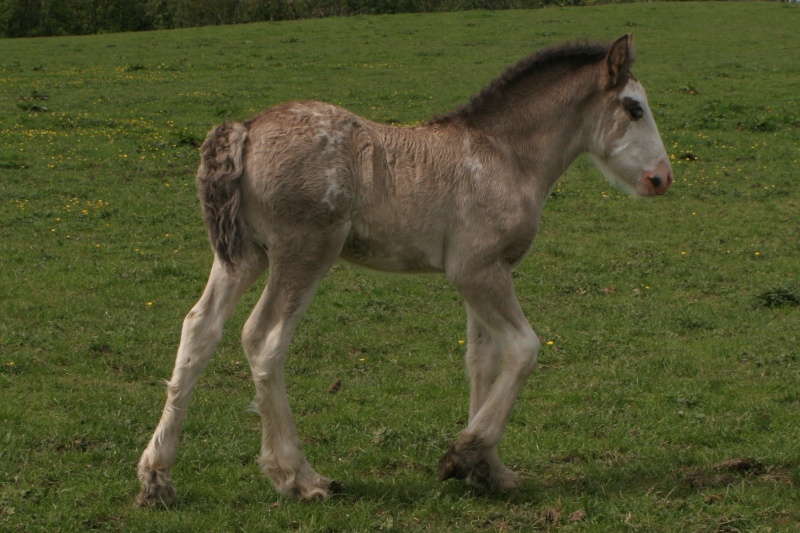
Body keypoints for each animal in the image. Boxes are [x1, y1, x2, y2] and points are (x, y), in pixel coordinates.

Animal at [136, 34, 668, 502]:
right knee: (264, 341)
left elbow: (483, 362)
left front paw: (488, 471)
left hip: (244, 256)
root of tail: (247, 128)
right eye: (634, 108)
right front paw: (461, 455)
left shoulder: (486, 275)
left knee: (200, 328)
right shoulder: (476, 271)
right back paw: (300, 478)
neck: (503, 156)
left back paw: (156, 478)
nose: (662, 178)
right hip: (303, 252)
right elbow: (524, 350)